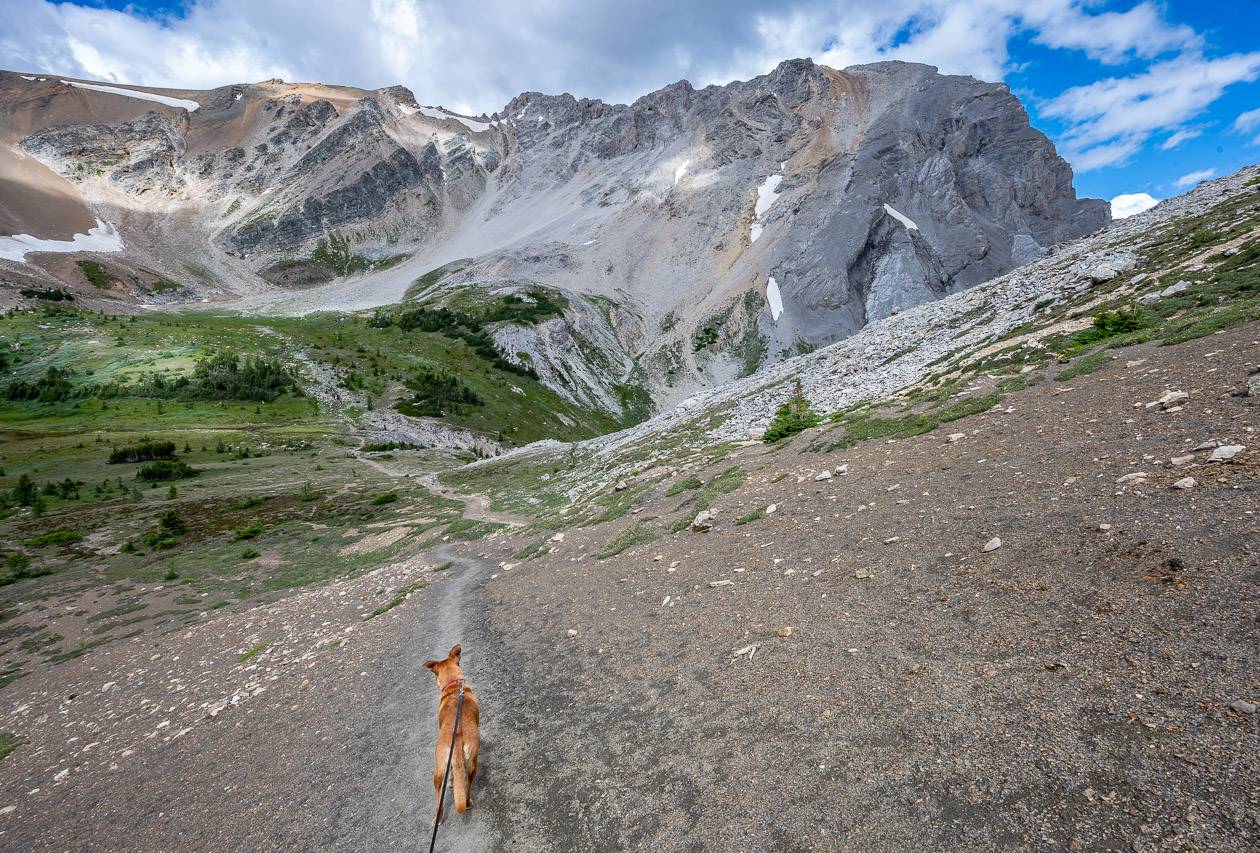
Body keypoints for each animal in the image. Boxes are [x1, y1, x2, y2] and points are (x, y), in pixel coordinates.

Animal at [425, 642, 478, 821]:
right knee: (466, 786)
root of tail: (458, 736)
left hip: (440, 768)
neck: (454, 686)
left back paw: (438, 817)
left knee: (439, 794)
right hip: (471, 764)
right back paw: (467, 803)